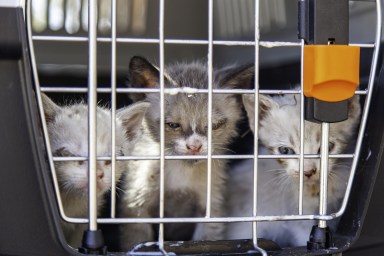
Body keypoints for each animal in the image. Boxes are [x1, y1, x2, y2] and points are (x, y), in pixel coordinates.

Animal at [118, 56, 254, 250]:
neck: (181, 172)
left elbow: (206, 240)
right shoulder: (136, 206)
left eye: (214, 125)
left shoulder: (211, 207)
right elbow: (137, 242)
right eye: (173, 125)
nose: (194, 146)